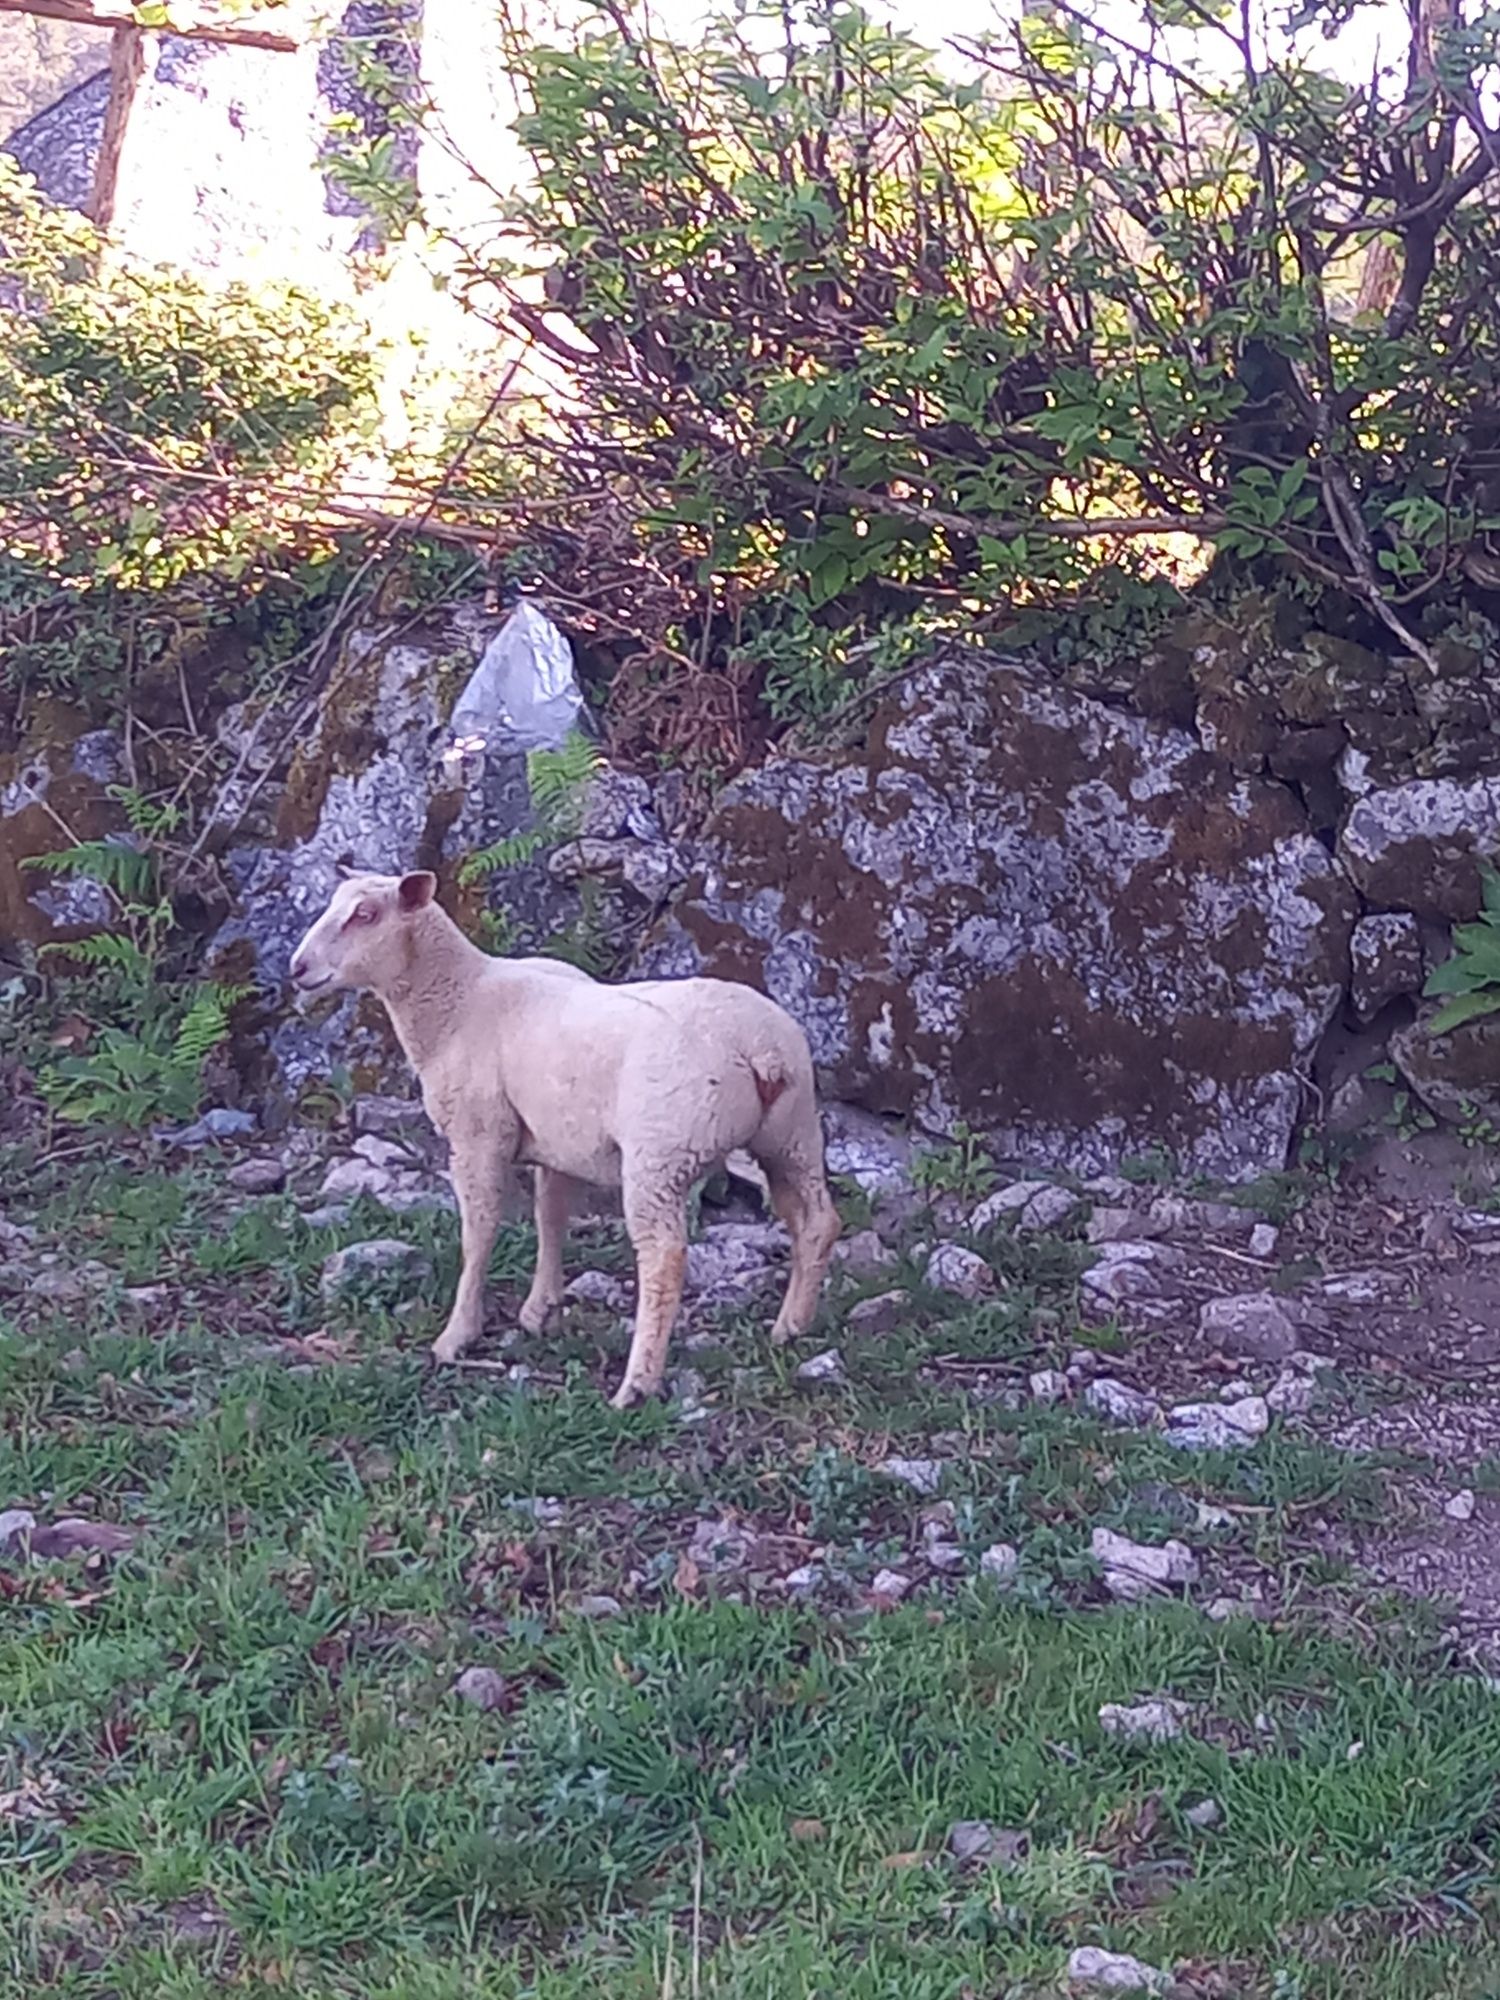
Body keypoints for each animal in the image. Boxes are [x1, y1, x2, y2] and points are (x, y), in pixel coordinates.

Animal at [284, 872, 848, 1408]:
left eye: (365, 914)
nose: (297, 968)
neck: (457, 1002)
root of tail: (760, 1050)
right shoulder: (556, 1140)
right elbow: (550, 1216)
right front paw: (541, 1309)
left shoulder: (477, 1133)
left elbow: (479, 1231)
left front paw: (457, 1335)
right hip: (792, 1133)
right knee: (818, 1221)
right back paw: (791, 1326)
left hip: (662, 1152)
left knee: (664, 1257)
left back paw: (637, 1384)